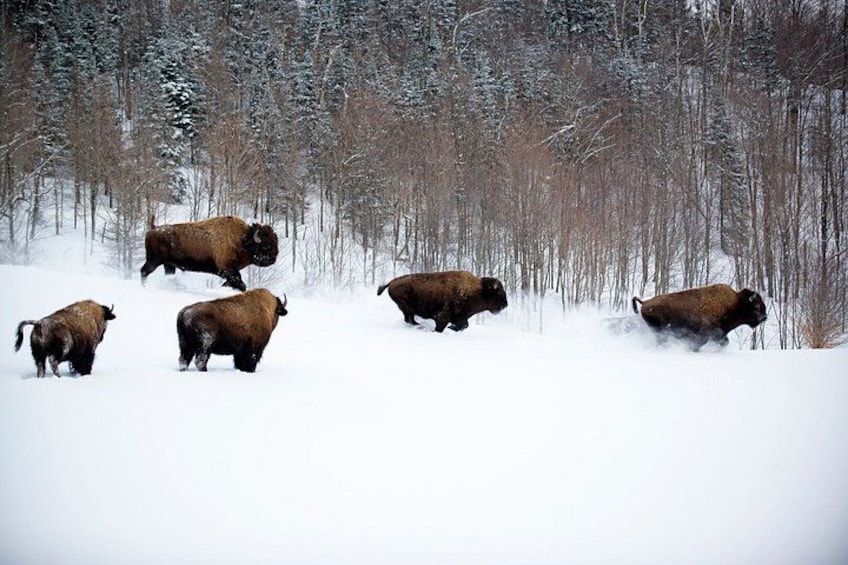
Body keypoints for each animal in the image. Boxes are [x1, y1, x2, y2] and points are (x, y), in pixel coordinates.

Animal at [141, 216, 279, 292]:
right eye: (266, 245)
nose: (273, 259)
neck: (242, 239)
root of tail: (153, 228)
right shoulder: (227, 269)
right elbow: (240, 283)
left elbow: (233, 283)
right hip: (154, 261)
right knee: (144, 271)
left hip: (168, 265)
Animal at [377, 270, 508, 332]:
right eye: (499, 293)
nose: (505, 305)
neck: (478, 290)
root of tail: (392, 282)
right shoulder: (442, 317)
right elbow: (442, 326)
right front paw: (449, 328)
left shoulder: (461, 317)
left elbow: (464, 325)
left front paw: (451, 328)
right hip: (406, 306)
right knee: (409, 319)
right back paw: (421, 326)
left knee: (409, 319)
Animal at [632, 284, 767, 349]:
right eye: (756, 306)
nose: (765, 317)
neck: (735, 304)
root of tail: (645, 302)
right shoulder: (706, 332)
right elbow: (700, 342)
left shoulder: (720, 334)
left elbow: (724, 342)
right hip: (661, 331)